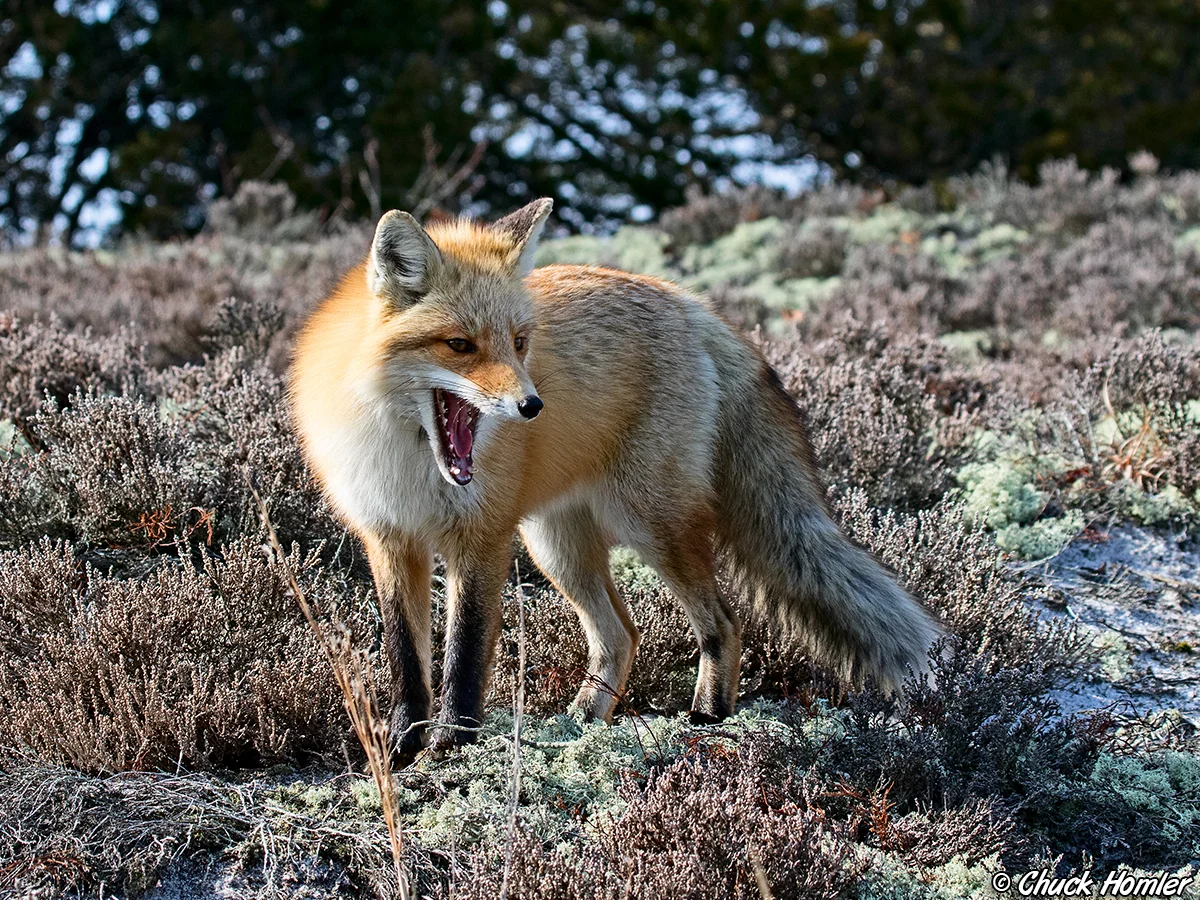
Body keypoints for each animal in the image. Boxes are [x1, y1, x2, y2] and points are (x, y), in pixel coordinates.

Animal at [289, 198, 940, 760]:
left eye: (519, 343)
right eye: (459, 345)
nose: (532, 406)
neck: (410, 458)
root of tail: (693, 305)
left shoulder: (483, 537)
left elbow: (466, 655)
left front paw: (453, 743)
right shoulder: (390, 538)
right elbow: (406, 657)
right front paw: (403, 744)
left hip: (650, 524)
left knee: (723, 623)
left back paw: (708, 716)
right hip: (558, 547)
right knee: (621, 634)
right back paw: (584, 721)